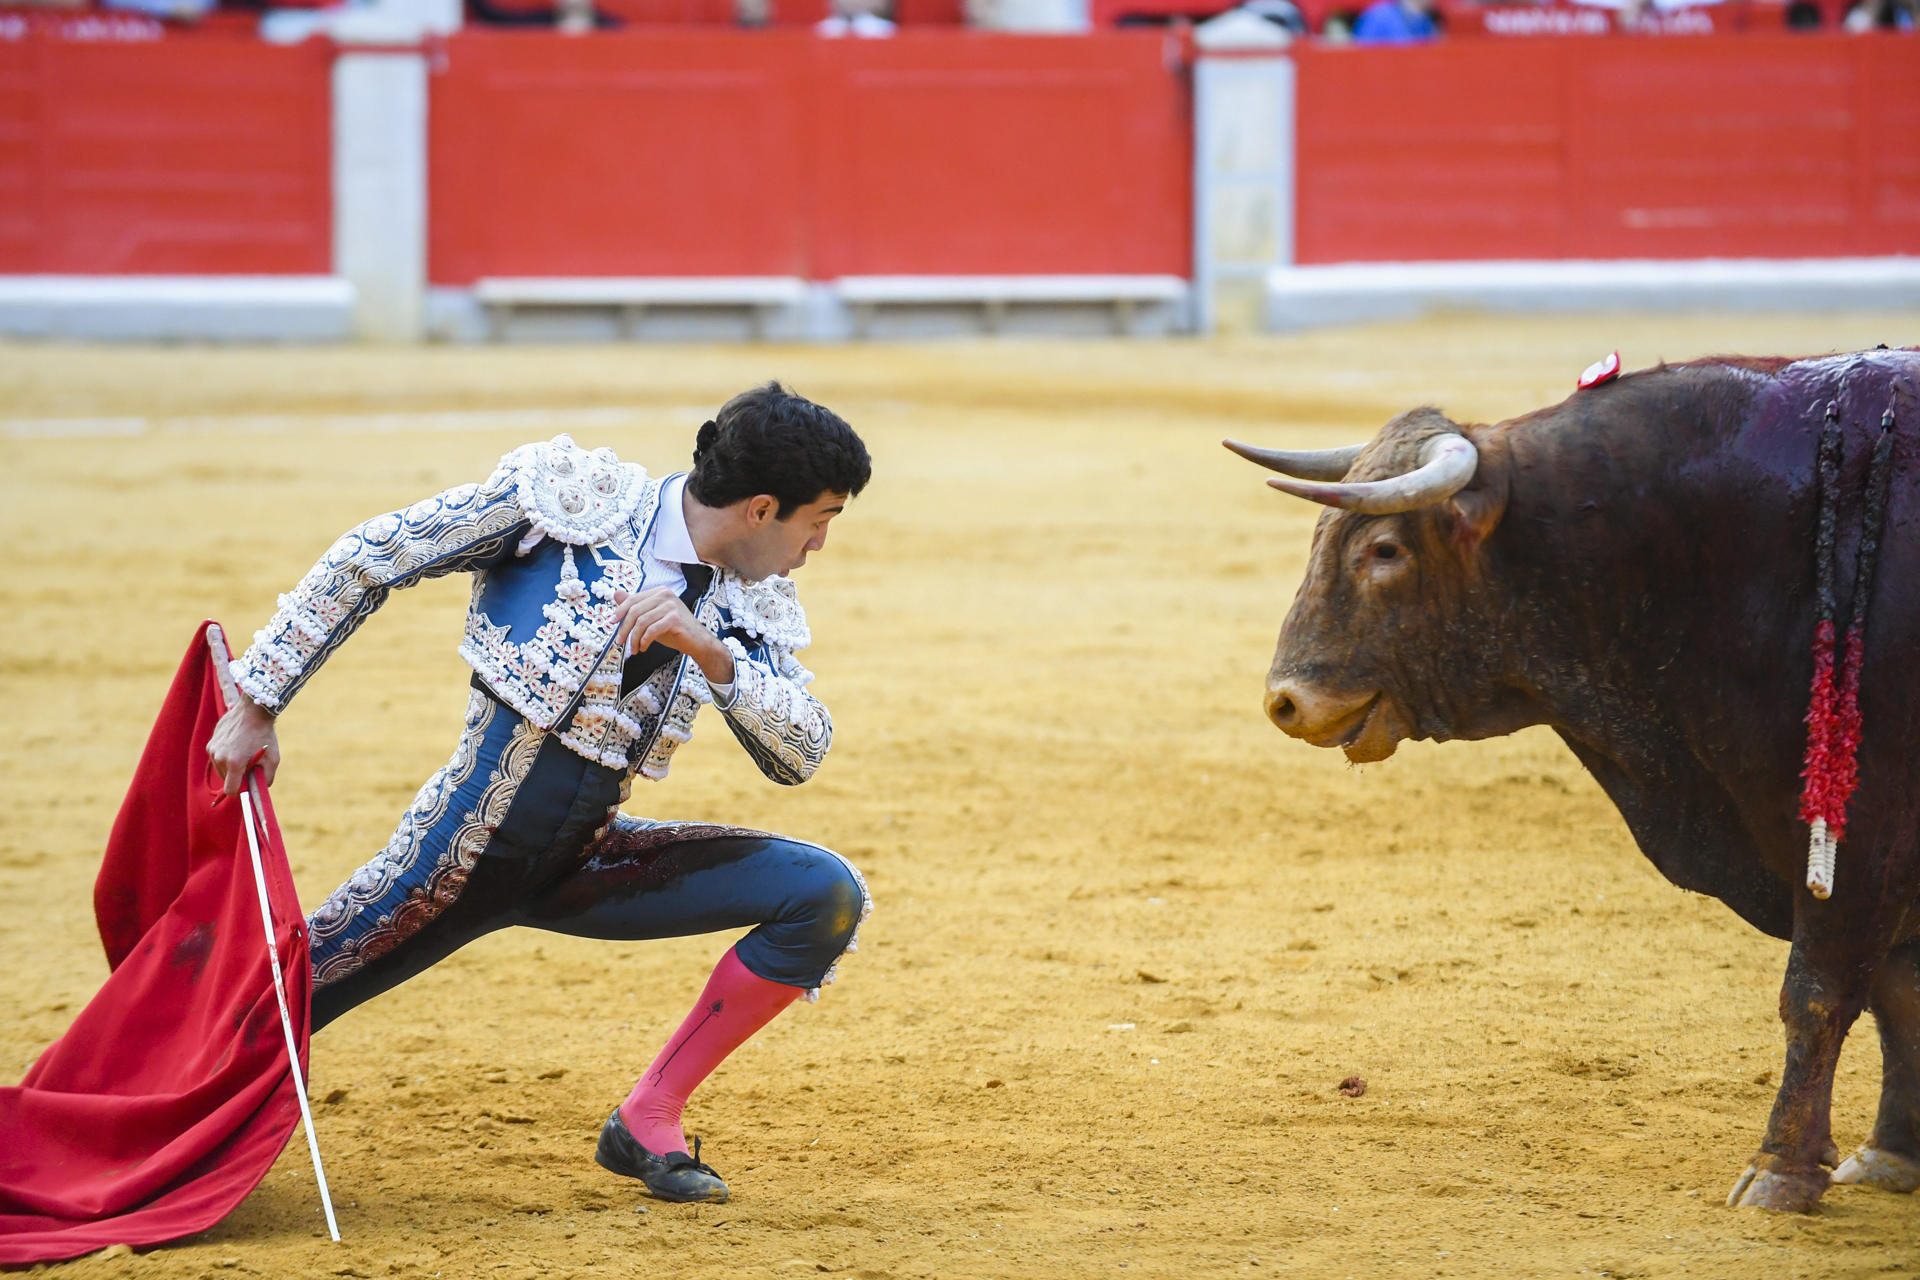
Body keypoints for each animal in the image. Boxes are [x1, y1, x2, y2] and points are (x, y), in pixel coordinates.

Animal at [1236, 347, 1912, 1212]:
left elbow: (1819, 990)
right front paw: (1893, 1153)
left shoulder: (1855, 831)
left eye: (1385, 549)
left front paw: (1781, 1170)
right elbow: (1895, 990)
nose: (1284, 701)